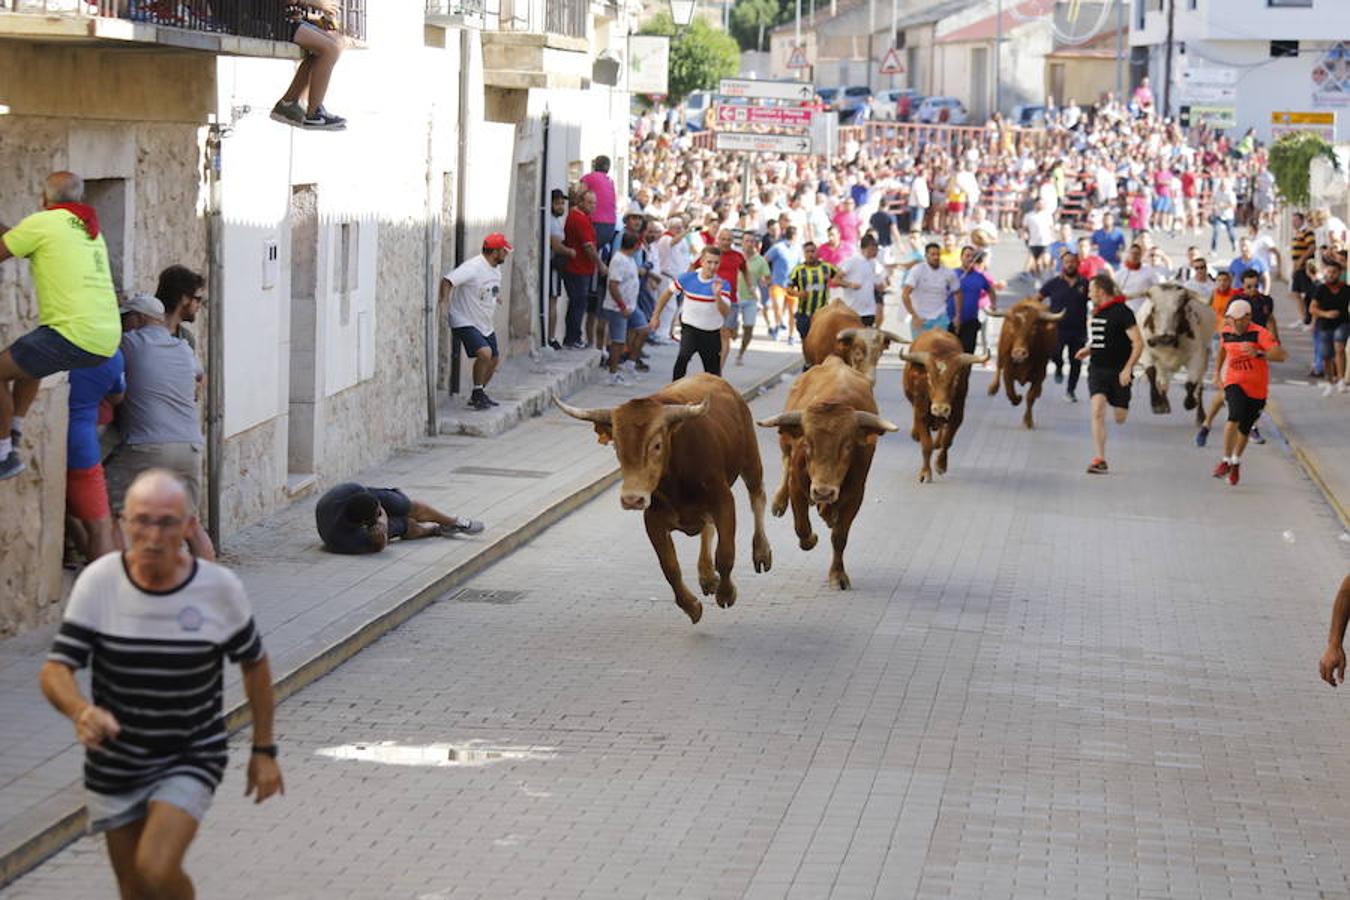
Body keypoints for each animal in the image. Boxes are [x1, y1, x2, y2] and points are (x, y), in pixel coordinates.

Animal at [556, 372, 772, 626]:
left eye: (657, 445)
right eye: (616, 445)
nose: (632, 499)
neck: (675, 476)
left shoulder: (724, 501)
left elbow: (725, 553)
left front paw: (727, 594)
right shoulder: (653, 518)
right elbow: (670, 567)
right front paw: (691, 606)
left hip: (750, 457)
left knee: (757, 496)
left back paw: (761, 552)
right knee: (707, 526)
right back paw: (707, 575)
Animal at [761, 356, 896, 593]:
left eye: (848, 446)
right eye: (807, 443)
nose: (823, 492)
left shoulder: (855, 495)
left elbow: (839, 537)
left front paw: (838, 575)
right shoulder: (797, 486)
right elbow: (801, 526)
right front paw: (811, 539)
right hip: (784, 441)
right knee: (785, 461)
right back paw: (780, 502)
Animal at [901, 329, 988, 483]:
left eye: (955, 380)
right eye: (929, 379)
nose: (940, 408)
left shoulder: (957, 414)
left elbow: (947, 440)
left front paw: (941, 464)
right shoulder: (921, 412)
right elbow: (926, 445)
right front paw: (925, 472)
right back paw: (916, 433)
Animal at [982, 299, 1063, 429]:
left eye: (1034, 329)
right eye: (1012, 328)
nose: (1019, 353)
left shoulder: (1040, 374)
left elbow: (1030, 397)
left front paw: (1028, 421)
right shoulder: (1007, 372)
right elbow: (1010, 392)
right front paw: (1017, 398)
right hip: (1000, 352)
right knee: (998, 367)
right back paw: (992, 388)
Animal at [1134, 283, 1220, 423]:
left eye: (1179, 310)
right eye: (1154, 309)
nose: (1165, 338)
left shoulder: (1197, 356)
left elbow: (1191, 383)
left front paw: (1190, 402)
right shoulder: (1146, 352)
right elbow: (1151, 373)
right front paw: (1157, 404)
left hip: (1205, 358)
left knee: (1199, 386)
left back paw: (1201, 415)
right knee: (1163, 381)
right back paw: (1164, 401)